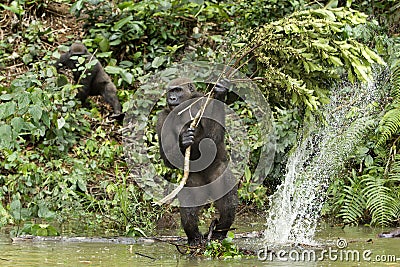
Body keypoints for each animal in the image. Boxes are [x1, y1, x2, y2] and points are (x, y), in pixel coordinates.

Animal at [156, 77, 238, 247]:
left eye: (177, 90)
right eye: (170, 91)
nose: (171, 98)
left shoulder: (201, 101)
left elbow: (212, 140)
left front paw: (220, 92)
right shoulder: (162, 117)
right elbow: (167, 158)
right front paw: (184, 141)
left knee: (228, 203)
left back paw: (219, 232)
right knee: (189, 208)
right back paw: (194, 237)